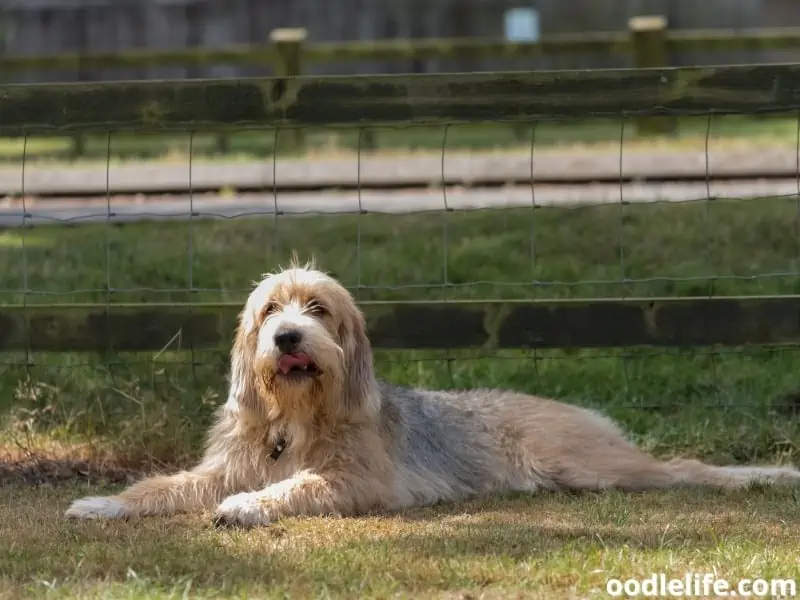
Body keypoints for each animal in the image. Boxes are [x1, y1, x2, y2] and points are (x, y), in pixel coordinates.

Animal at [65, 264, 800, 528]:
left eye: (318, 309)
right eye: (270, 309)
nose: (288, 336)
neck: (294, 418)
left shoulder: (352, 481)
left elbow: (293, 486)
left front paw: (248, 506)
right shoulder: (222, 466)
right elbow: (165, 485)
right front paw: (105, 503)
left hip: (595, 465)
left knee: (689, 468)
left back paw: (764, 477)